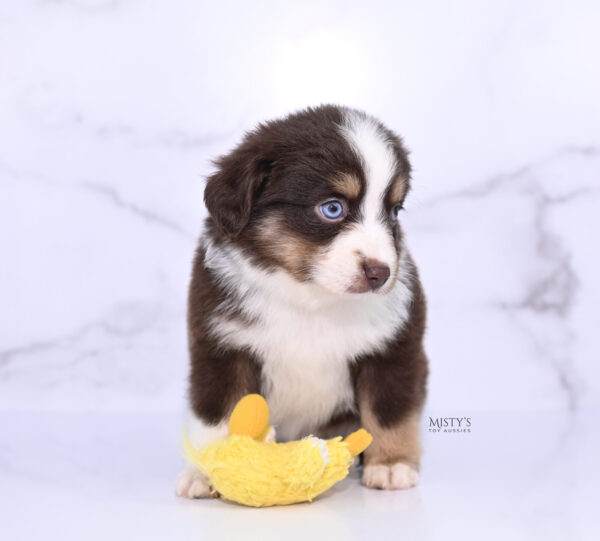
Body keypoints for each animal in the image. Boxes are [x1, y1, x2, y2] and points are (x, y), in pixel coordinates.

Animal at [176, 105, 428, 498]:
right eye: (332, 208)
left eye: (394, 211)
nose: (381, 273)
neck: (309, 298)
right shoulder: (222, 349)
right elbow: (219, 414)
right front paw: (207, 473)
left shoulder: (393, 349)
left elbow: (390, 413)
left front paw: (391, 465)